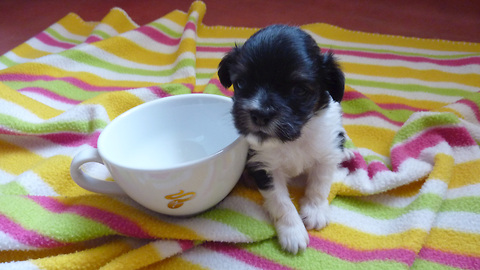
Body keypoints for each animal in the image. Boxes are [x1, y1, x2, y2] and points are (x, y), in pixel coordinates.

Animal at [219, 24, 350, 253]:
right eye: (241, 83)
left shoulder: (326, 152)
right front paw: (293, 232)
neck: (292, 138)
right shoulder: (264, 165)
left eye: (299, 90)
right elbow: (281, 201)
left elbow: (319, 185)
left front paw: (315, 211)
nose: (260, 114)